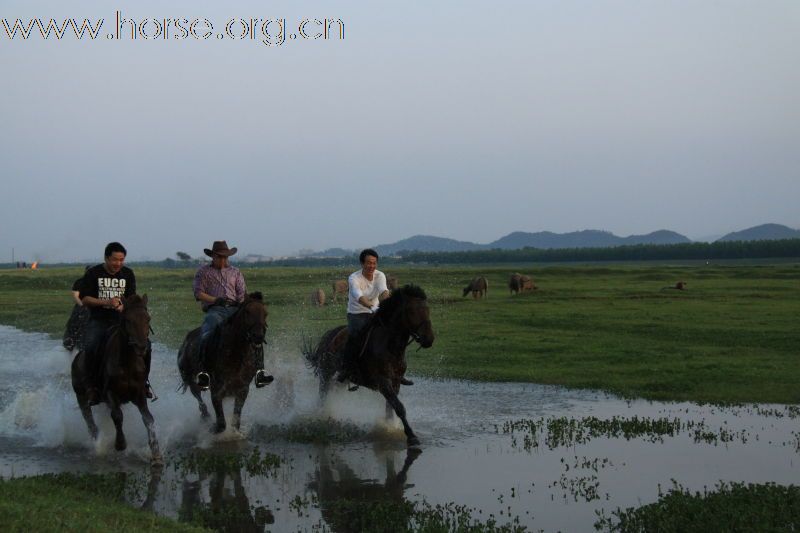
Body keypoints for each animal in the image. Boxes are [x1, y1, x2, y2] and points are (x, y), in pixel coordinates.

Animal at [70, 296, 161, 462]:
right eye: (128, 320)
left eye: (148, 318)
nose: (141, 347)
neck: (127, 363)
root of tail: (77, 359)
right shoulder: (111, 393)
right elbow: (117, 416)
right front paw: (120, 444)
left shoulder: (139, 394)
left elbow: (148, 419)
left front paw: (156, 452)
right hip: (81, 396)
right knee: (89, 421)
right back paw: (97, 443)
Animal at [178, 290, 268, 432]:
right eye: (247, 312)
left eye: (265, 313)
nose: (258, 336)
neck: (236, 354)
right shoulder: (216, 390)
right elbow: (221, 424)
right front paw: (214, 429)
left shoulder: (243, 389)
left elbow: (235, 422)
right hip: (191, 381)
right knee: (199, 398)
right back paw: (205, 416)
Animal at [304, 284, 434, 446]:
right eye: (412, 311)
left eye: (427, 310)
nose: (429, 339)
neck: (389, 346)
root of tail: (330, 335)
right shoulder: (383, 382)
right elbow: (399, 407)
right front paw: (411, 436)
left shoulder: (396, 382)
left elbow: (390, 408)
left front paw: (390, 428)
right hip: (326, 373)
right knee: (322, 394)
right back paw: (321, 417)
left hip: (343, 379)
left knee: (333, 388)